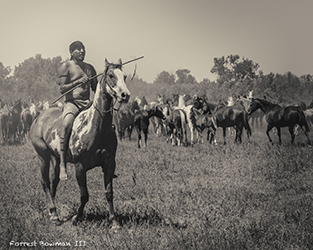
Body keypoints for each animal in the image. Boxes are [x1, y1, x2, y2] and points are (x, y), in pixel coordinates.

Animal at [29, 59, 130, 229]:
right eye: (111, 75)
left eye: (125, 76)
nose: (125, 95)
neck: (96, 127)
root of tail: (38, 117)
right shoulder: (80, 166)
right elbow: (84, 195)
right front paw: (77, 217)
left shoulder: (109, 164)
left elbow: (109, 193)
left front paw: (114, 221)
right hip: (43, 156)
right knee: (45, 182)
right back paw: (54, 214)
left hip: (56, 158)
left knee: (54, 181)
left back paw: (52, 211)